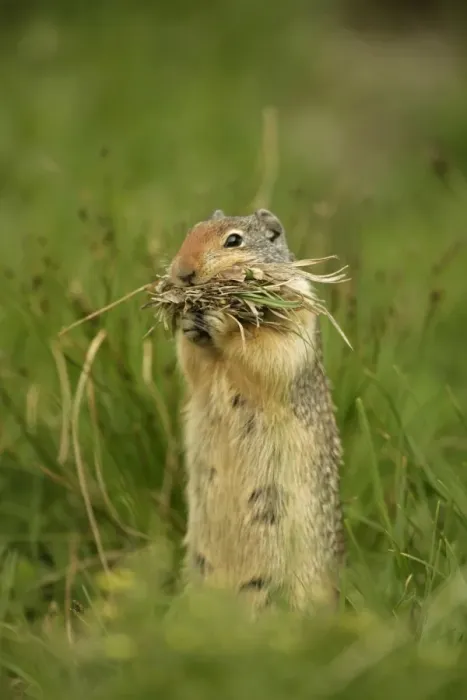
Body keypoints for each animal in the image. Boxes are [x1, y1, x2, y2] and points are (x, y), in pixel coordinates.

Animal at [169, 208, 345, 613]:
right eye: (191, 231)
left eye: (234, 240)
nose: (183, 272)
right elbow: (192, 362)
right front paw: (188, 320)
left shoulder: (296, 312)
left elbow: (268, 351)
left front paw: (218, 318)